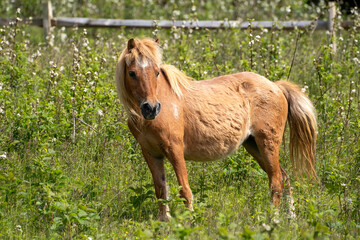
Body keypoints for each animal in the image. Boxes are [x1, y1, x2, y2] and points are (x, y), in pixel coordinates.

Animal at [114, 38, 316, 221]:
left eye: (157, 73)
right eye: (132, 73)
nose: (151, 108)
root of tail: (276, 86)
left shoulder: (174, 149)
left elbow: (184, 190)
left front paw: (190, 222)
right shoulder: (151, 153)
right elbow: (161, 191)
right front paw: (164, 222)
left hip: (268, 144)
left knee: (276, 182)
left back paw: (272, 220)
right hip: (254, 145)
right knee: (284, 177)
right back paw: (291, 217)